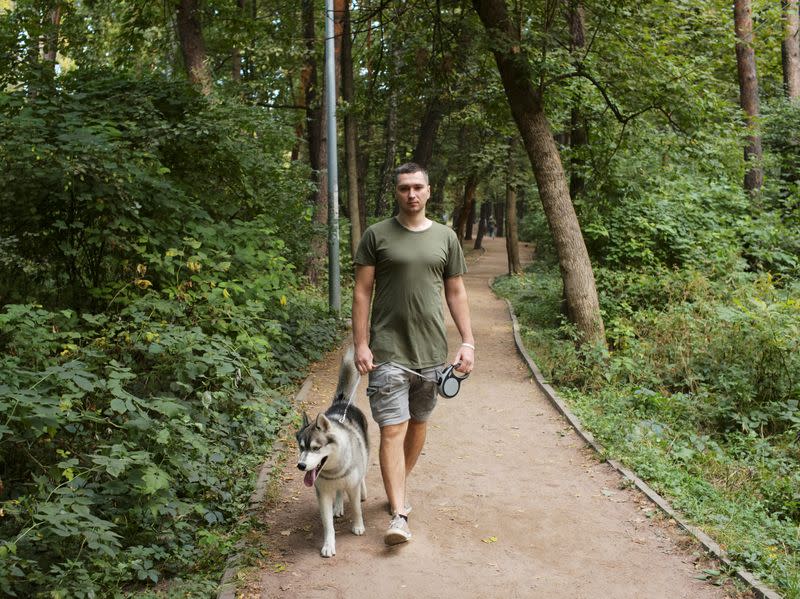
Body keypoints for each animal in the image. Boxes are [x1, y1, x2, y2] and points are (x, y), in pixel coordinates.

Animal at [294, 346, 368, 556]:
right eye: (301, 447)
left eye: (316, 448)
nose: (301, 465)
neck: (334, 471)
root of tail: (342, 403)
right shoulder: (323, 494)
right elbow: (328, 524)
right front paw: (328, 545)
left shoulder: (352, 486)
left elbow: (357, 509)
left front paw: (358, 526)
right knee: (338, 492)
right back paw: (338, 505)